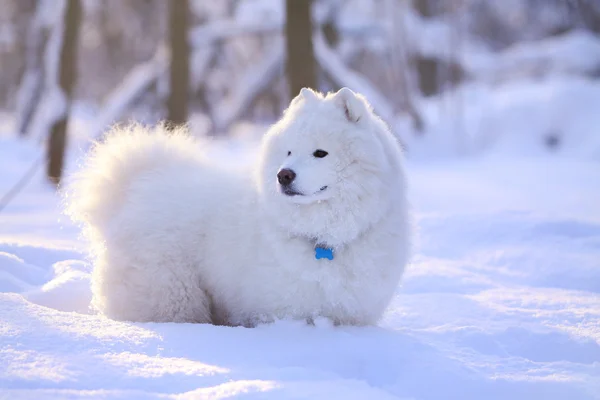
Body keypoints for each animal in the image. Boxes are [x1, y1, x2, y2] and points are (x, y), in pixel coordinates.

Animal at [67, 86, 412, 324]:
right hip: (171, 294)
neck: (325, 239)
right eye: (288, 152)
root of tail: (135, 184)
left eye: (320, 153)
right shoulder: (278, 312)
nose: (283, 175)